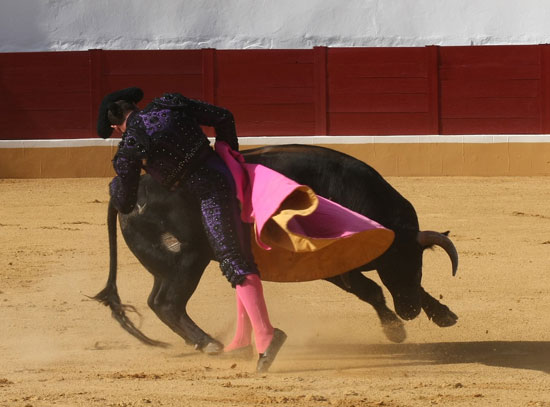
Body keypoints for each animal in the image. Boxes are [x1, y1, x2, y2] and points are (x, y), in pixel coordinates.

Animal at [92, 144, 460, 354]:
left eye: (418, 265)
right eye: (394, 263)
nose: (409, 311)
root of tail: (127, 190)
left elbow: (387, 288)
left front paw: (443, 314)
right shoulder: (331, 264)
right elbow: (371, 290)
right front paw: (395, 330)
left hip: (167, 265)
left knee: (159, 300)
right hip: (186, 260)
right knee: (168, 303)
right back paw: (211, 343)